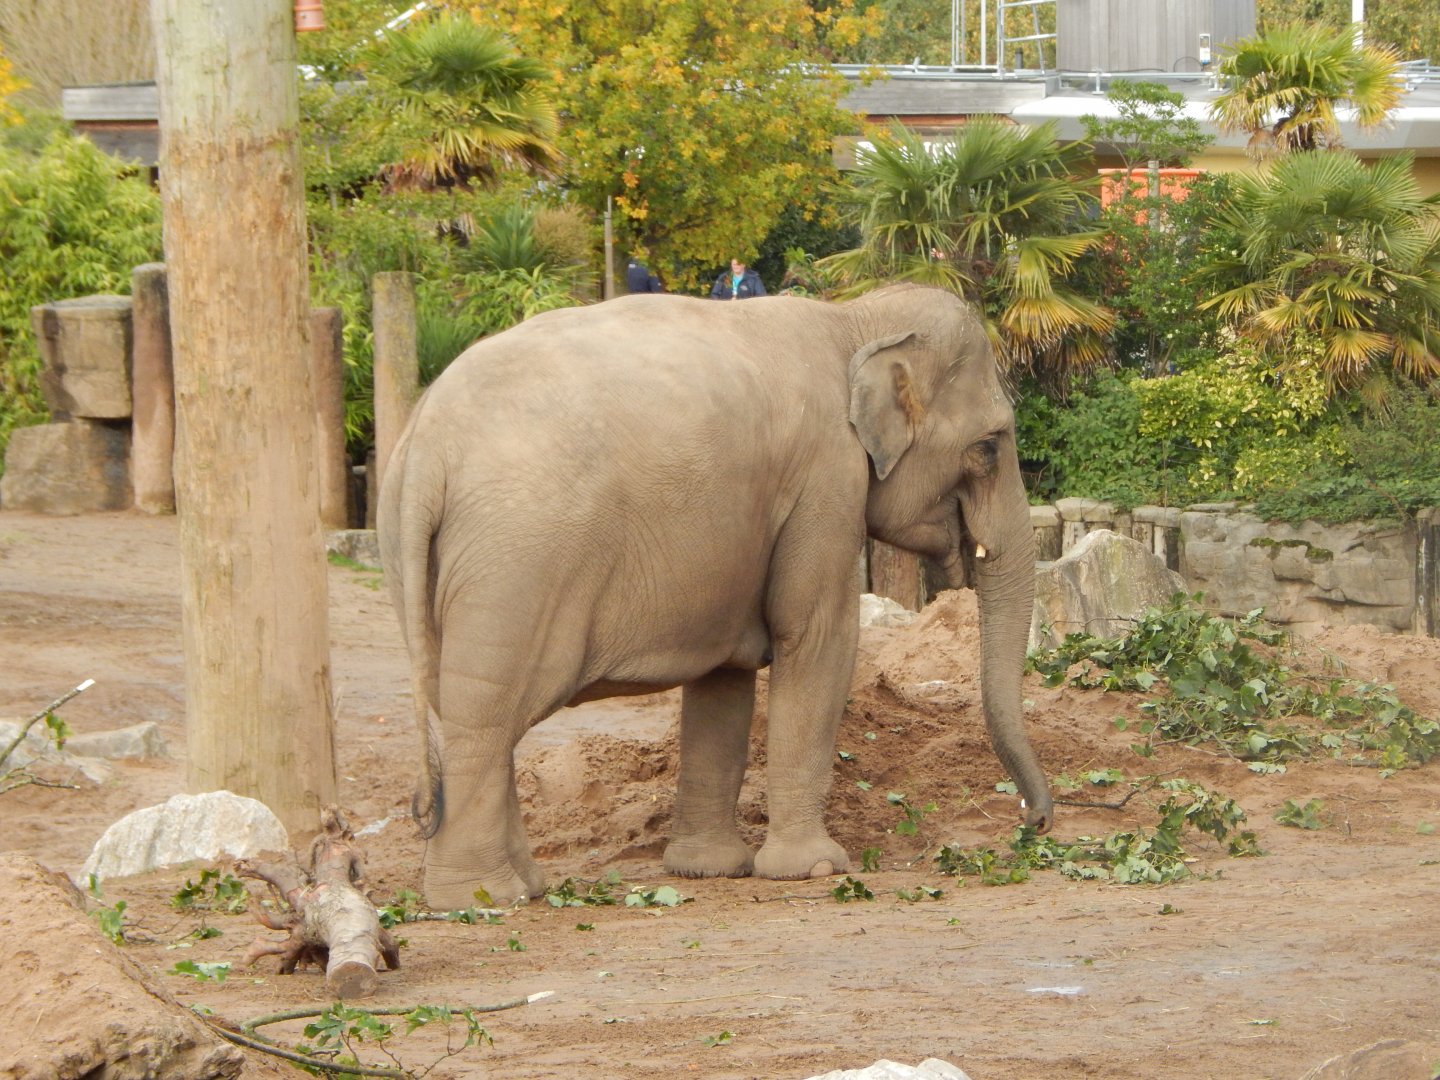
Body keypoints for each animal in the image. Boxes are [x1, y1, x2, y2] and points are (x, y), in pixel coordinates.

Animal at [377, 283, 1053, 909]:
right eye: (989, 446)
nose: (1034, 823)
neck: (853, 319)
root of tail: (426, 445)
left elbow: (724, 677)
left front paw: (708, 870)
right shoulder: (826, 478)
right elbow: (818, 639)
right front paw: (815, 869)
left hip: (423, 563)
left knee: (469, 711)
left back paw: (526, 887)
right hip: (518, 565)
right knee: (488, 716)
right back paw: (483, 898)